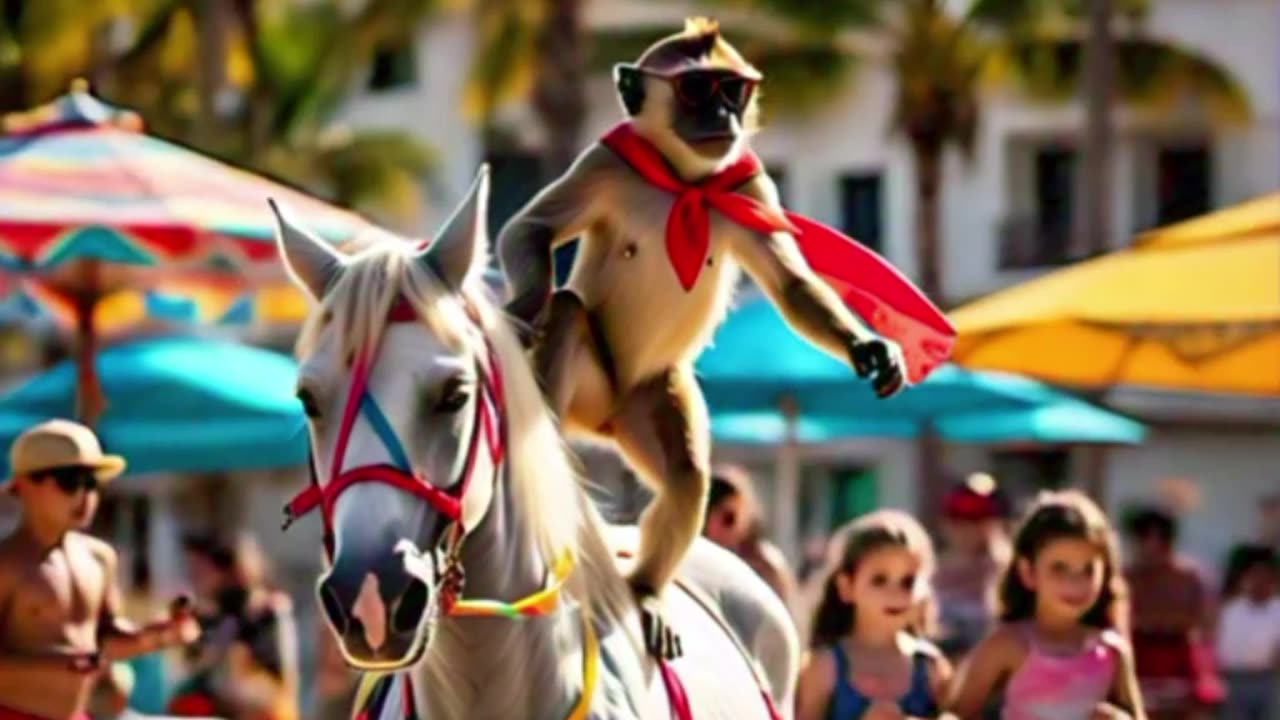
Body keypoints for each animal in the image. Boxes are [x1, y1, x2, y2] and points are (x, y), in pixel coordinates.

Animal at [497, 18, 953, 658]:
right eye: (696, 90)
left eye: (731, 90)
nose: (722, 114)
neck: (684, 183)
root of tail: (605, 417)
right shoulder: (606, 163)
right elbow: (531, 229)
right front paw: (524, 302)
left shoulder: (749, 185)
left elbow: (790, 283)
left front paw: (868, 348)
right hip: (597, 383)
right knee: (567, 311)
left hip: (649, 393)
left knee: (687, 476)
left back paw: (647, 589)